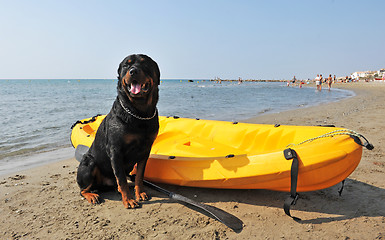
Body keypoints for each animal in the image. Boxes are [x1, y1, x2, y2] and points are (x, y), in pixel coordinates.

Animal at [76, 54, 160, 208]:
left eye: (145, 64)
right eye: (126, 65)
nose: (133, 71)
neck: (139, 113)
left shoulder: (145, 151)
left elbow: (139, 176)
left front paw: (140, 193)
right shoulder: (115, 151)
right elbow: (121, 179)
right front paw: (128, 200)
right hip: (88, 163)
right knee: (83, 190)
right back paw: (92, 195)